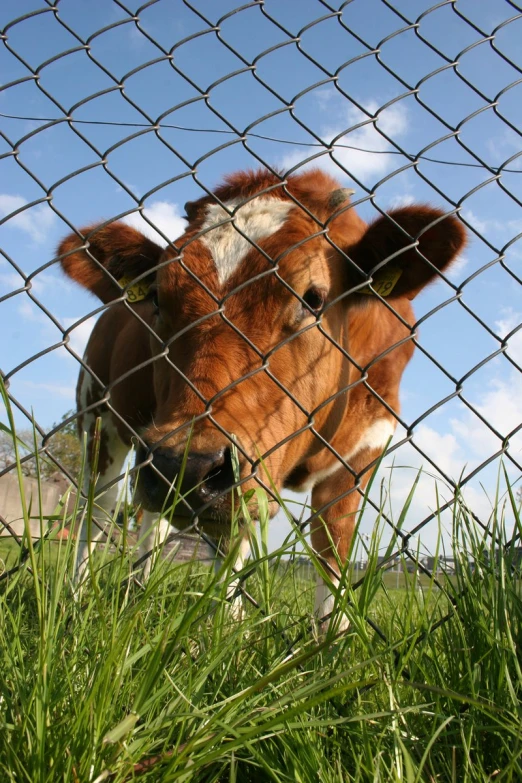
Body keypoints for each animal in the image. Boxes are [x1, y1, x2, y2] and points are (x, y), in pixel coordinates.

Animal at [57, 170, 464, 632]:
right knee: (97, 508)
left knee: (150, 521)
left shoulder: (364, 450)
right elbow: (232, 549)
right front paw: (220, 632)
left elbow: (331, 550)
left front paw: (325, 642)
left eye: (312, 298)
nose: (183, 467)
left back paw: (137, 589)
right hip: (99, 416)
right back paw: (75, 600)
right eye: (159, 297)